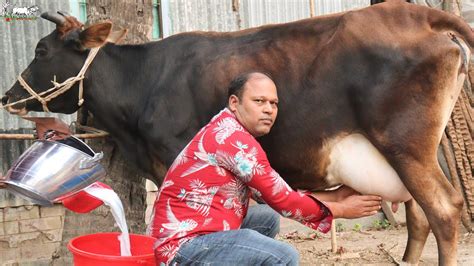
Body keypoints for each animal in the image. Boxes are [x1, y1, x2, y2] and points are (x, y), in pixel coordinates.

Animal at [1, 1, 472, 264]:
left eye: (41, 50)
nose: (9, 97)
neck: (146, 81)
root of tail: (420, 14)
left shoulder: (171, 155)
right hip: (414, 151)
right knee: (418, 217)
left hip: (405, 145)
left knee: (444, 211)